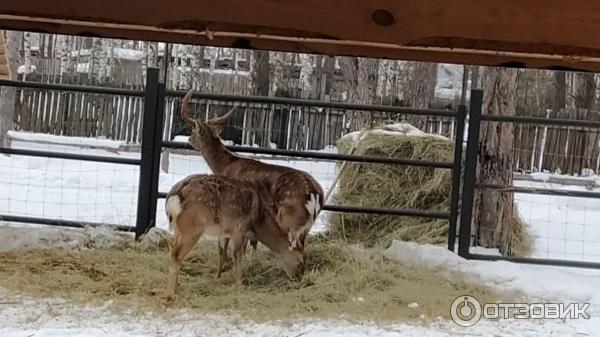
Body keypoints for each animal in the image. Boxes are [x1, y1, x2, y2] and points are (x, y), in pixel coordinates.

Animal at [163, 173, 304, 300]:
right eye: (300, 262)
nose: (299, 279)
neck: (258, 222)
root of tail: (172, 199)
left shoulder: (224, 232)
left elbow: (222, 254)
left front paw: (218, 277)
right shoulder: (239, 229)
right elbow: (238, 255)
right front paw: (239, 284)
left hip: (178, 229)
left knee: (174, 250)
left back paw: (176, 287)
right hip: (192, 227)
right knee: (176, 254)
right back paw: (170, 294)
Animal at [180, 89, 326, 255]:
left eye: (193, 130)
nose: (189, 140)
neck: (224, 166)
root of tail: (315, 193)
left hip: (289, 218)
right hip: (306, 225)